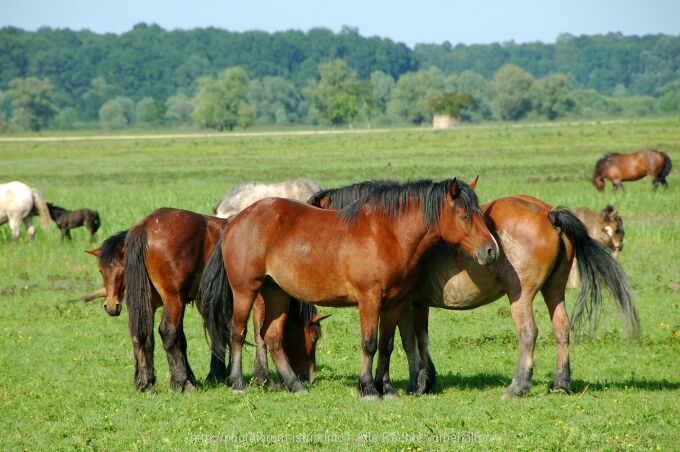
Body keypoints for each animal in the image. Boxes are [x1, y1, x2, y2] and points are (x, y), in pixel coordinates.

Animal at [88, 210, 330, 394]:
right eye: (314, 338)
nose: (308, 376)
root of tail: (145, 226)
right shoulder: (257, 300)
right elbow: (257, 335)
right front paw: (262, 378)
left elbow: (212, 335)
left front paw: (217, 373)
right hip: (173, 298)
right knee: (167, 332)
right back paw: (182, 383)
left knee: (142, 335)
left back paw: (147, 383)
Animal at [199, 179, 496, 400]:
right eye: (465, 215)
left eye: (481, 214)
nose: (491, 250)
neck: (388, 234)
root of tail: (237, 219)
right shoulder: (369, 300)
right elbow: (370, 344)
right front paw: (368, 387)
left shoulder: (395, 303)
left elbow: (387, 345)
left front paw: (387, 388)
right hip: (245, 290)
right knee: (237, 332)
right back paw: (237, 382)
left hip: (276, 293)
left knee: (272, 337)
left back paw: (295, 385)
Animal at [310, 182, 640, 398]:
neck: (389, 229)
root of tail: (547, 212)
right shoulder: (418, 304)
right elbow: (421, 340)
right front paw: (426, 380)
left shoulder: (405, 303)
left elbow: (407, 342)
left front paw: (416, 383)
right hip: (554, 289)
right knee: (562, 329)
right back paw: (560, 384)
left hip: (521, 296)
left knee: (528, 333)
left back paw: (518, 386)